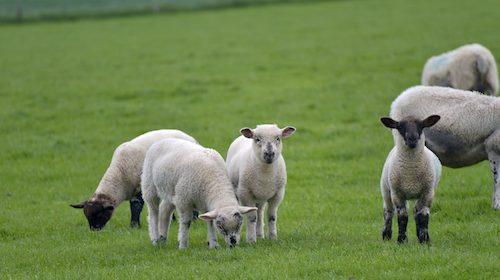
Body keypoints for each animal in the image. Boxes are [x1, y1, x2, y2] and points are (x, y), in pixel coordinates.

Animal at [378, 114, 442, 243]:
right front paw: (402, 240)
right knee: (388, 211)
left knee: (416, 211)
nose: (412, 138)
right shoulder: (397, 193)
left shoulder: (427, 192)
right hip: (386, 189)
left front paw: (424, 240)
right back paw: (386, 235)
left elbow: (423, 216)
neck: (411, 173)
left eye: (421, 125)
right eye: (400, 126)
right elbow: (402, 217)